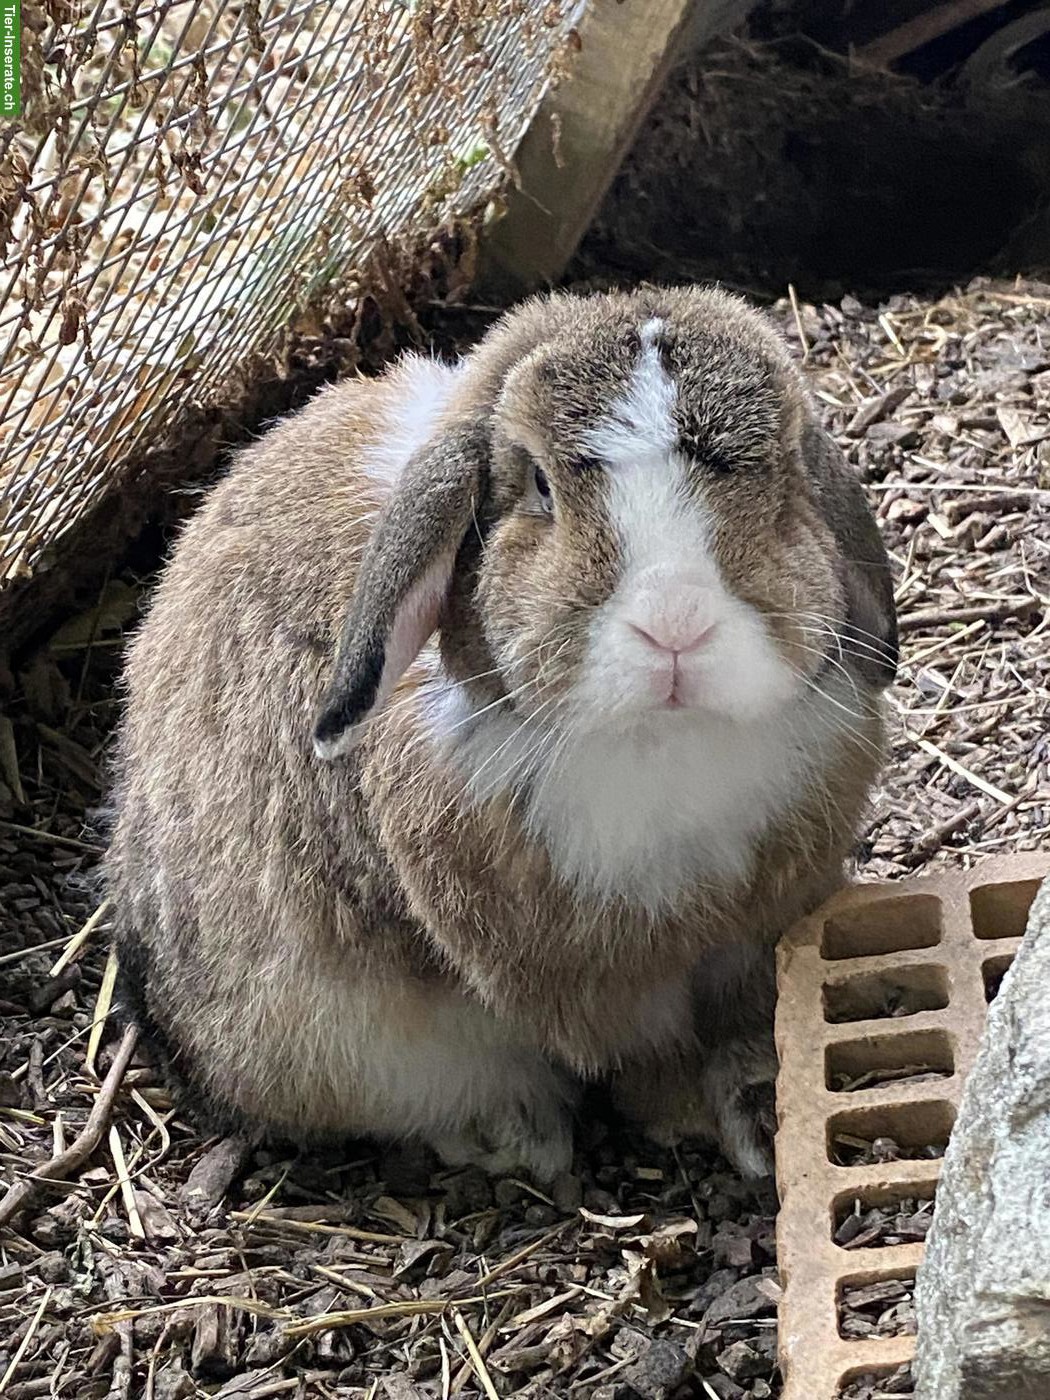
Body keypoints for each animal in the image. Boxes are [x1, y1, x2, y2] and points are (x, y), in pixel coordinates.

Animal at [106, 286, 897, 1182]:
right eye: (540, 487)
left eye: (784, 474)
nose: (675, 625)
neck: (664, 743)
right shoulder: (599, 985)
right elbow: (648, 1058)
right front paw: (690, 1120)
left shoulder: (757, 931)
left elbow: (746, 1020)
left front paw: (761, 1117)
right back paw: (518, 1133)